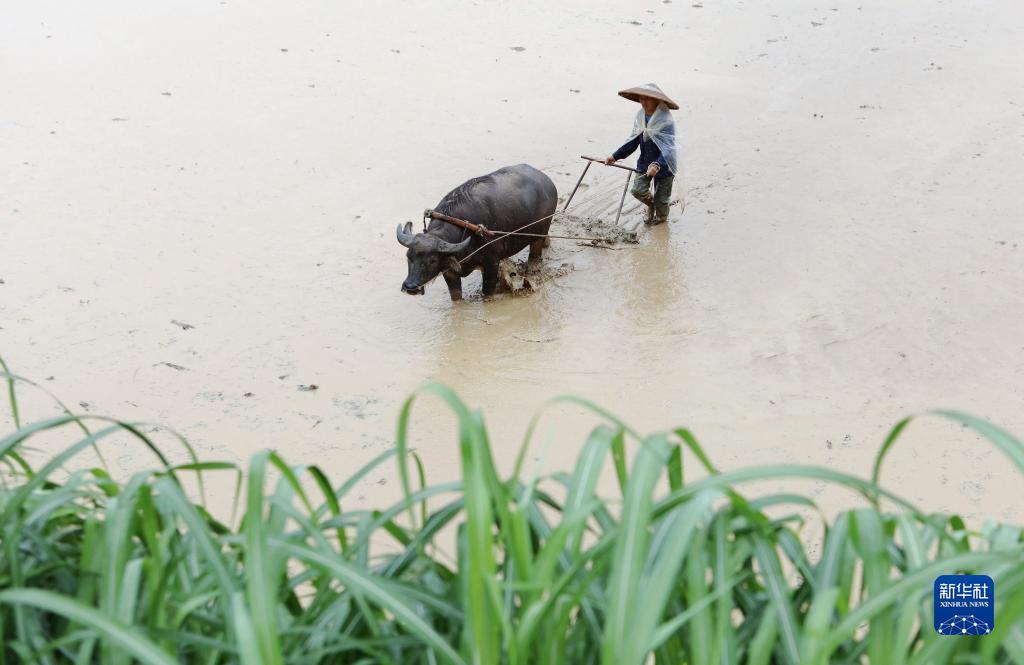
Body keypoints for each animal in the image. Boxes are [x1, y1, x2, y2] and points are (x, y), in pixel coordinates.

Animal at [395, 162, 557, 299]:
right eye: (408, 256)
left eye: (432, 260)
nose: (410, 287)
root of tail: (547, 181)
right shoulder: (450, 272)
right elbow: (456, 296)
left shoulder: (491, 264)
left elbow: (487, 293)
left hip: (538, 234)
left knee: (535, 255)